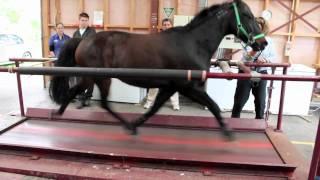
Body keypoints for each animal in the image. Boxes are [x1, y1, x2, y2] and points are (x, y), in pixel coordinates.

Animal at [49, 0, 268, 140]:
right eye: (247, 16)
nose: (263, 43)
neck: (194, 43)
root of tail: (83, 40)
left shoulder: (170, 87)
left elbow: (154, 108)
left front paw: (137, 123)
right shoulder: (189, 87)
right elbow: (213, 105)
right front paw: (228, 131)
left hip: (96, 78)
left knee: (93, 99)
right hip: (97, 78)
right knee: (88, 97)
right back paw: (60, 114)